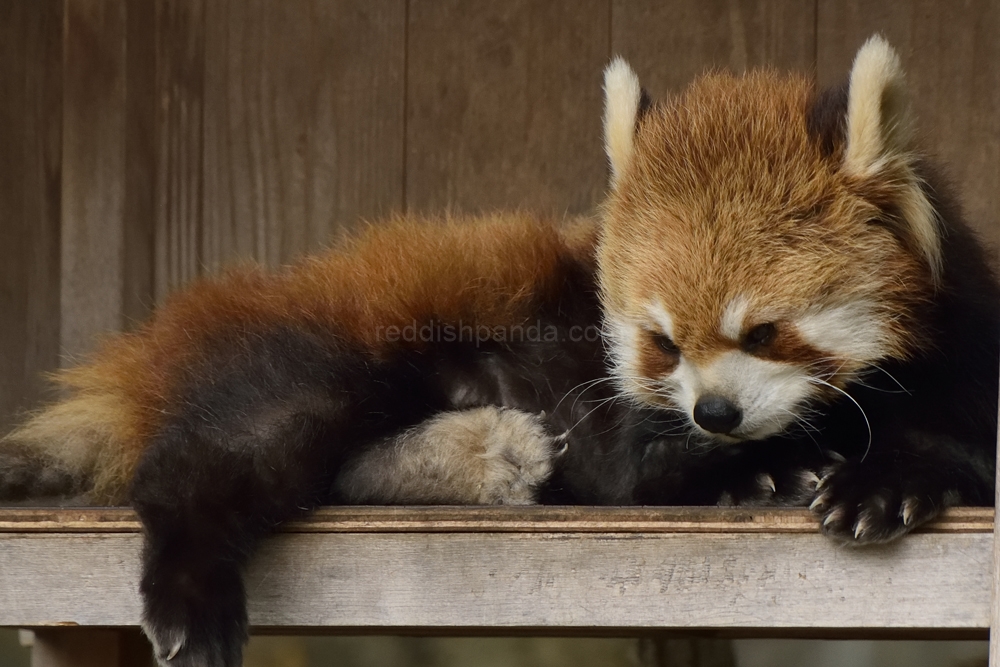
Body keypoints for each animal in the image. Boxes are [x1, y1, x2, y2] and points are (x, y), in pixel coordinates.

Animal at [1, 35, 1000, 667]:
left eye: (762, 331)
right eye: (662, 342)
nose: (715, 414)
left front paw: (877, 478)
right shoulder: (586, 375)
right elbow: (625, 464)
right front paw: (765, 468)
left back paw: (482, 454)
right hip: (349, 334)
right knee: (234, 446)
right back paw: (191, 591)